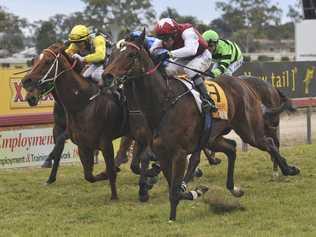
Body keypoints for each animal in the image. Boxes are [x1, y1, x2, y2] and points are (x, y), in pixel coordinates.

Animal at [102, 31, 300, 220]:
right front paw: (180, 203)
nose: (107, 76)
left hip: (249, 130)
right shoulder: (162, 153)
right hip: (212, 137)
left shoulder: (179, 153)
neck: (164, 102)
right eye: (113, 55)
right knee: (232, 147)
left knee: (269, 143)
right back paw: (234, 188)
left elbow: (175, 188)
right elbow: (172, 187)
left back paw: (288, 169)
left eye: (131, 54)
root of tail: (244, 84)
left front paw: (189, 192)